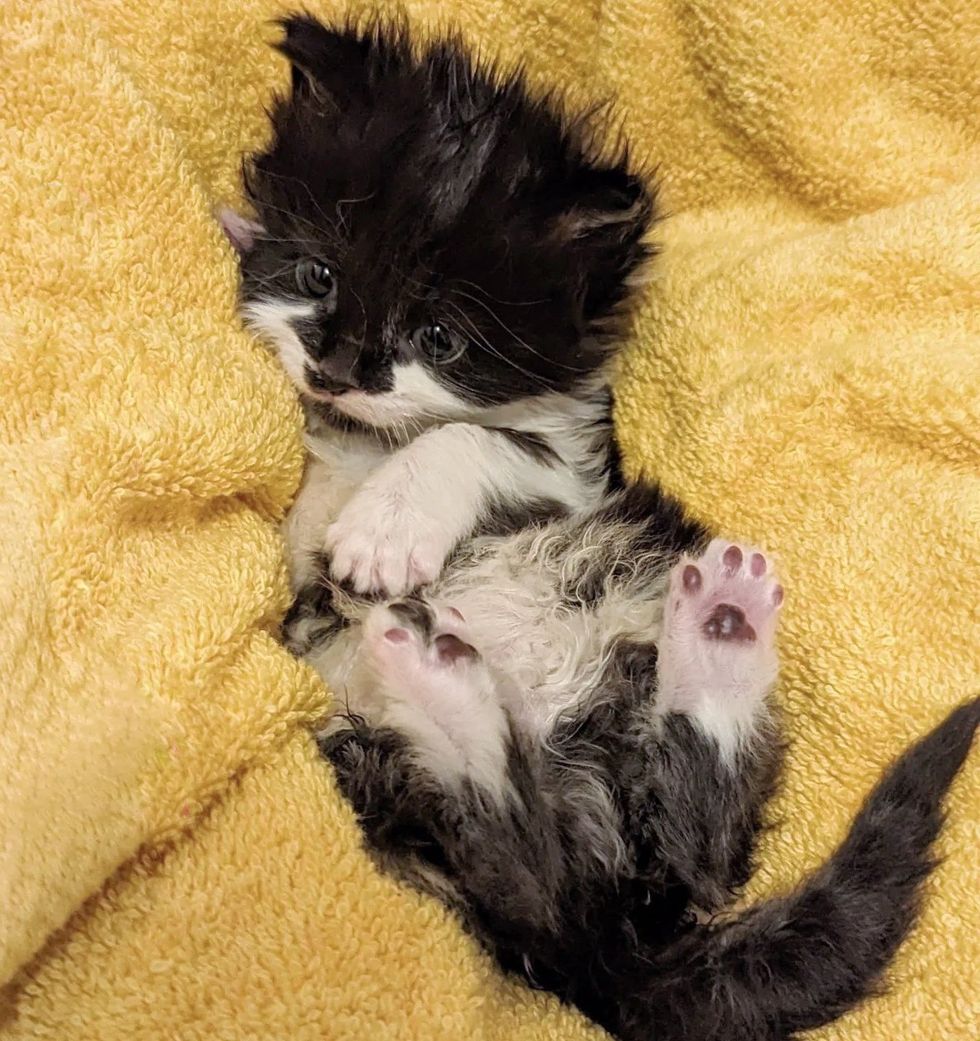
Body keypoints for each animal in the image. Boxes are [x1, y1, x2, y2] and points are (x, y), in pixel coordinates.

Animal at [217, 14, 654, 603]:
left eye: (439, 338)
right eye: (317, 277)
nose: (334, 375)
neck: (364, 441)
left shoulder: (581, 475)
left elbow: (476, 436)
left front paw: (384, 531)